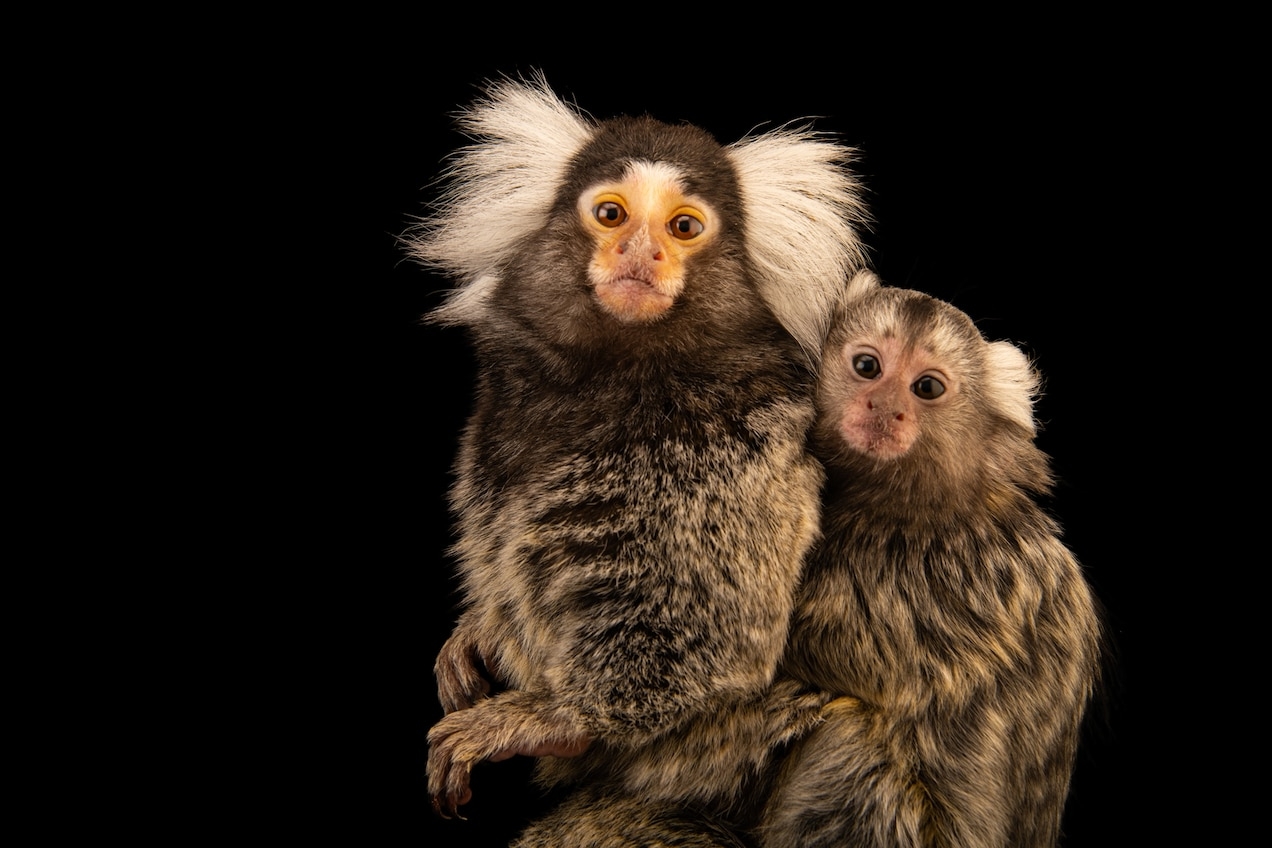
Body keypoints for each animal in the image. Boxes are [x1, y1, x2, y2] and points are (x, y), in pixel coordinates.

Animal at [401, 74, 870, 828]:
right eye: (611, 214)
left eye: (683, 227)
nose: (640, 255)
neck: (624, 379)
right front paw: (473, 632)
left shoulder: (732, 461)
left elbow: (712, 644)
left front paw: (551, 719)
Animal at [753, 273, 1104, 848]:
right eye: (867, 366)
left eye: (927, 389)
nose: (884, 408)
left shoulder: (941, 578)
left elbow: (820, 647)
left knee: (852, 742)